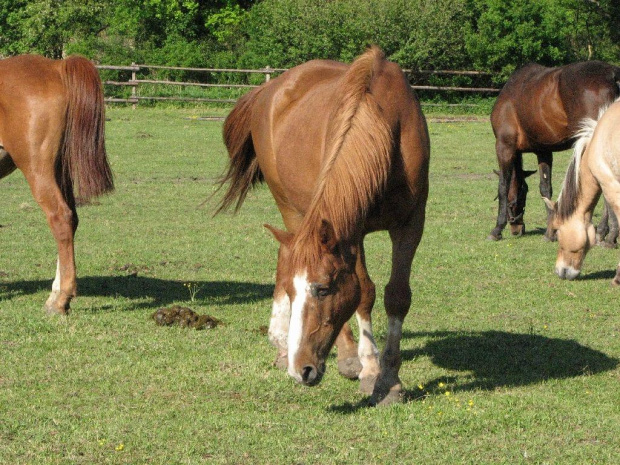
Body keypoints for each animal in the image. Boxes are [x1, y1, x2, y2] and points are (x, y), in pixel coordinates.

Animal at [0, 56, 114, 314]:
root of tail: (56, 67)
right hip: (60, 169)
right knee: (71, 219)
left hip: (38, 168)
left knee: (60, 218)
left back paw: (62, 298)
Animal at [218, 45, 432, 404]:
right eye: (294, 293)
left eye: (322, 289)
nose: (300, 369)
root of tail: (271, 88)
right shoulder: (350, 231)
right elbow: (364, 293)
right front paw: (370, 370)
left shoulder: (411, 224)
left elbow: (397, 296)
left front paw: (390, 380)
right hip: (292, 207)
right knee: (285, 256)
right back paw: (323, 352)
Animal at [490, 60, 620, 241]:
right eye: (524, 193)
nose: (516, 228)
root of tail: (612, 74)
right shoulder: (543, 151)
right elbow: (545, 188)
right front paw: (550, 231)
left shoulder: (504, 146)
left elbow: (503, 186)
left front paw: (497, 229)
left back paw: (607, 233)